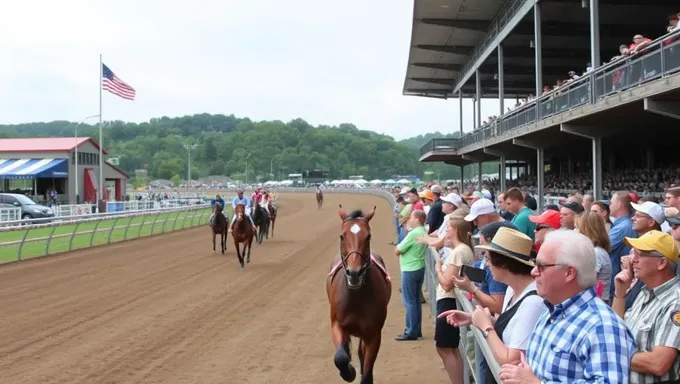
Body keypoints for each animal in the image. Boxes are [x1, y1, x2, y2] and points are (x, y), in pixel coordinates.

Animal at [326, 206, 390, 382]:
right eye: (342, 236)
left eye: (368, 236)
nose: (354, 273)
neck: (356, 298)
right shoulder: (337, 324)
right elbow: (341, 357)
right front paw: (349, 372)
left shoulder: (373, 334)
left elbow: (367, 371)